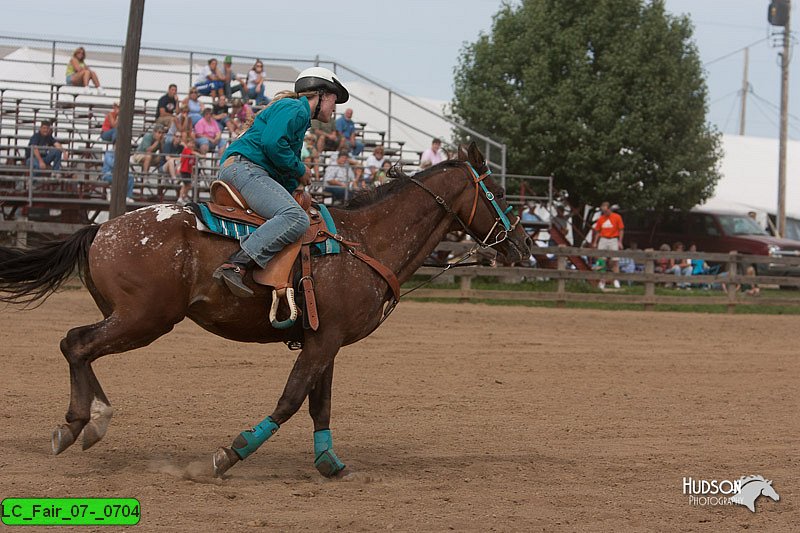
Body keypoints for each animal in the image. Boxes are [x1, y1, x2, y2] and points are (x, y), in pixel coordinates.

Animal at [0, 141, 532, 478]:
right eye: (502, 193)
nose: (525, 244)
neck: (361, 241)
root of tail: (102, 229)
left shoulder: (326, 339)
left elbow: (320, 404)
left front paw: (330, 464)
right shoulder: (324, 340)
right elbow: (291, 400)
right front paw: (228, 455)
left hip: (130, 318)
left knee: (80, 347)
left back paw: (87, 424)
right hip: (144, 319)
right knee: (76, 343)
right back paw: (81, 424)